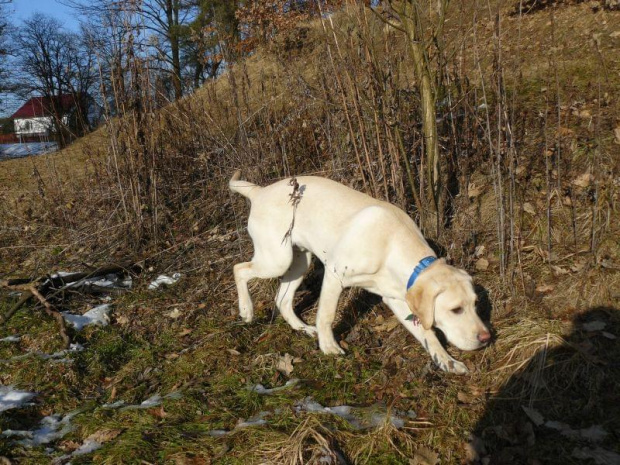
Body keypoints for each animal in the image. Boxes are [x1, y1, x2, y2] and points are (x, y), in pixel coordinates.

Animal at [228, 171, 490, 374]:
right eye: (456, 309)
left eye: (476, 304)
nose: (486, 338)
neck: (393, 245)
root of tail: (260, 192)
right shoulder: (334, 275)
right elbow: (327, 315)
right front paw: (328, 347)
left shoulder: (397, 299)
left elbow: (429, 335)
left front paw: (447, 361)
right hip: (277, 260)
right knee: (239, 269)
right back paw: (246, 310)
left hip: (299, 261)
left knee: (282, 299)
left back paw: (302, 328)